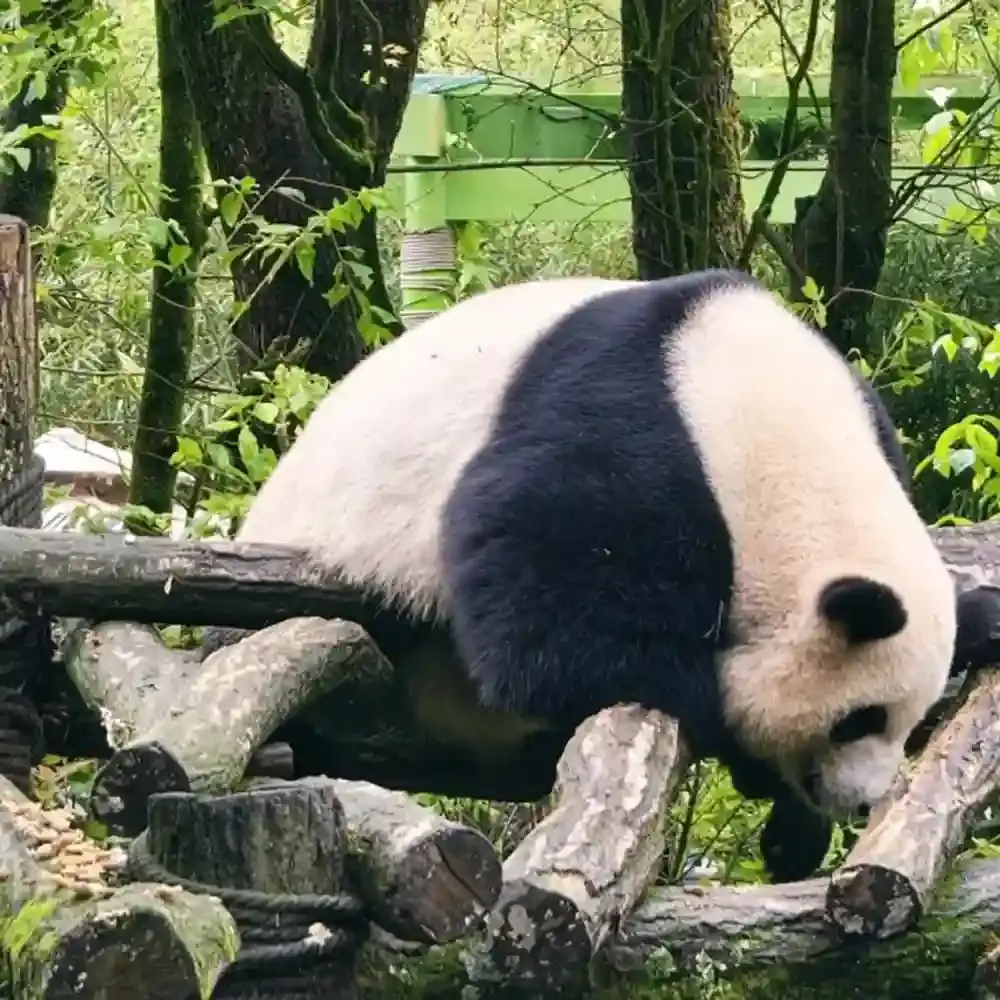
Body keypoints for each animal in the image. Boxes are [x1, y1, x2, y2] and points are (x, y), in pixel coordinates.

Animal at [204, 268, 999, 880]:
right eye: (858, 718)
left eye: (906, 721)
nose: (863, 800)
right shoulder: (626, 442)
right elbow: (546, 629)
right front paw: (753, 757)